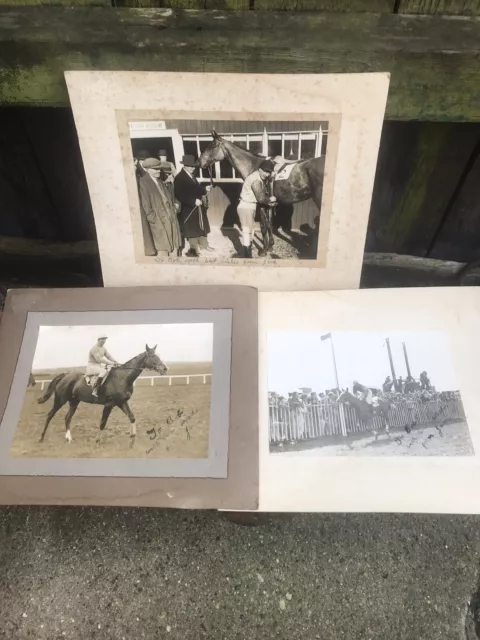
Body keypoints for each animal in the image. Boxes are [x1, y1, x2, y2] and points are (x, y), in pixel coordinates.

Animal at [36, 344, 167, 444]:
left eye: (158, 356)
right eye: (152, 356)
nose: (165, 369)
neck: (122, 378)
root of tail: (65, 375)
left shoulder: (121, 402)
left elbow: (132, 417)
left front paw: (132, 437)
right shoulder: (109, 405)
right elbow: (103, 423)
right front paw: (98, 441)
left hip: (74, 402)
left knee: (67, 418)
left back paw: (69, 438)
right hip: (60, 400)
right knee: (50, 415)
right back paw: (41, 437)